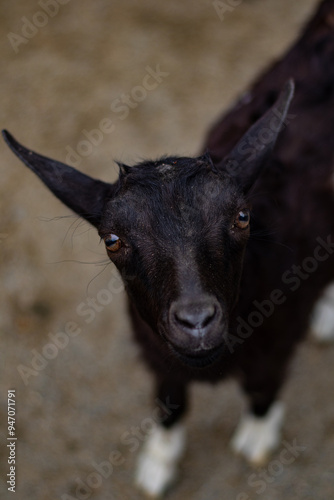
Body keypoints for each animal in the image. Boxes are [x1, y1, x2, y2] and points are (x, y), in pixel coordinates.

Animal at [2, 0, 334, 496]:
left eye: (242, 217)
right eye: (112, 239)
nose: (196, 321)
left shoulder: (278, 341)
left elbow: (262, 388)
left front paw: (257, 436)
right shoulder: (156, 350)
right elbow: (170, 400)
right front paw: (158, 462)